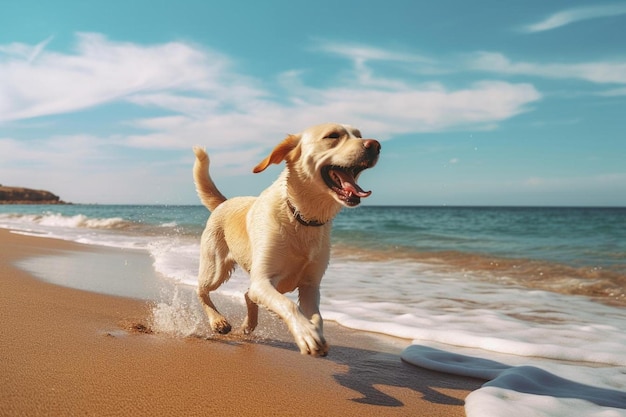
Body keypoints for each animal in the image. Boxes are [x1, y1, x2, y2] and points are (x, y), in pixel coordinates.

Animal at [194, 122, 380, 356]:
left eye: (359, 135)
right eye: (332, 136)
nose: (375, 145)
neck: (302, 218)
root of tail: (224, 202)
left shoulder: (310, 286)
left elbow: (318, 317)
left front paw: (315, 333)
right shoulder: (263, 280)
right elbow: (289, 305)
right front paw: (306, 334)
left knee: (247, 294)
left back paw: (248, 325)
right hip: (217, 268)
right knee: (202, 290)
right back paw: (218, 321)